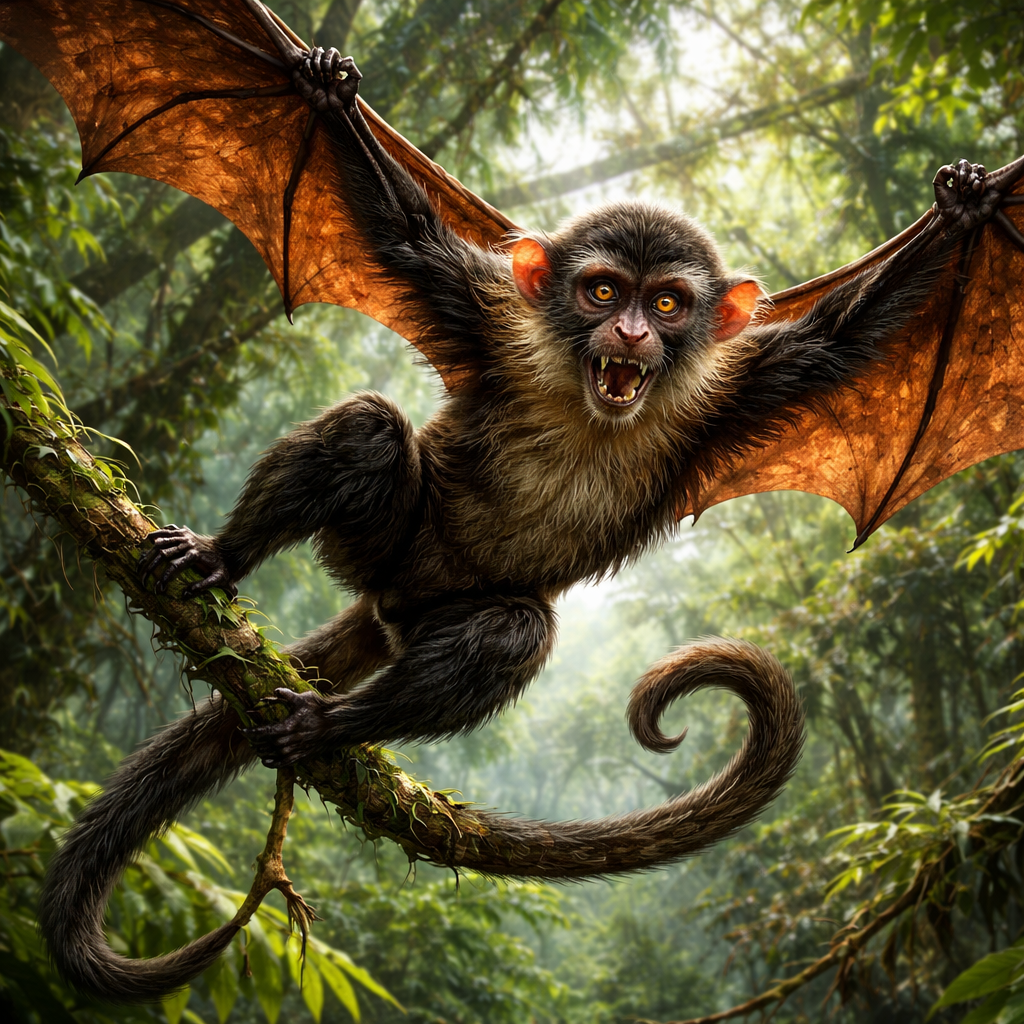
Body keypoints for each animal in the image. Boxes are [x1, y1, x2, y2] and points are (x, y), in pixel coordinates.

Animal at [35, 46, 1017, 1004]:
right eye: (601, 290)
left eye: (667, 304)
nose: (631, 334)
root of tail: (391, 605)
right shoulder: (491, 317)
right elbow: (401, 239)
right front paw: (320, 91)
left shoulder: (745, 386)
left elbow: (847, 344)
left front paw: (967, 214)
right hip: (379, 550)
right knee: (371, 432)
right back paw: (224, 560)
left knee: (511, 630)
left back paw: (332, 724)